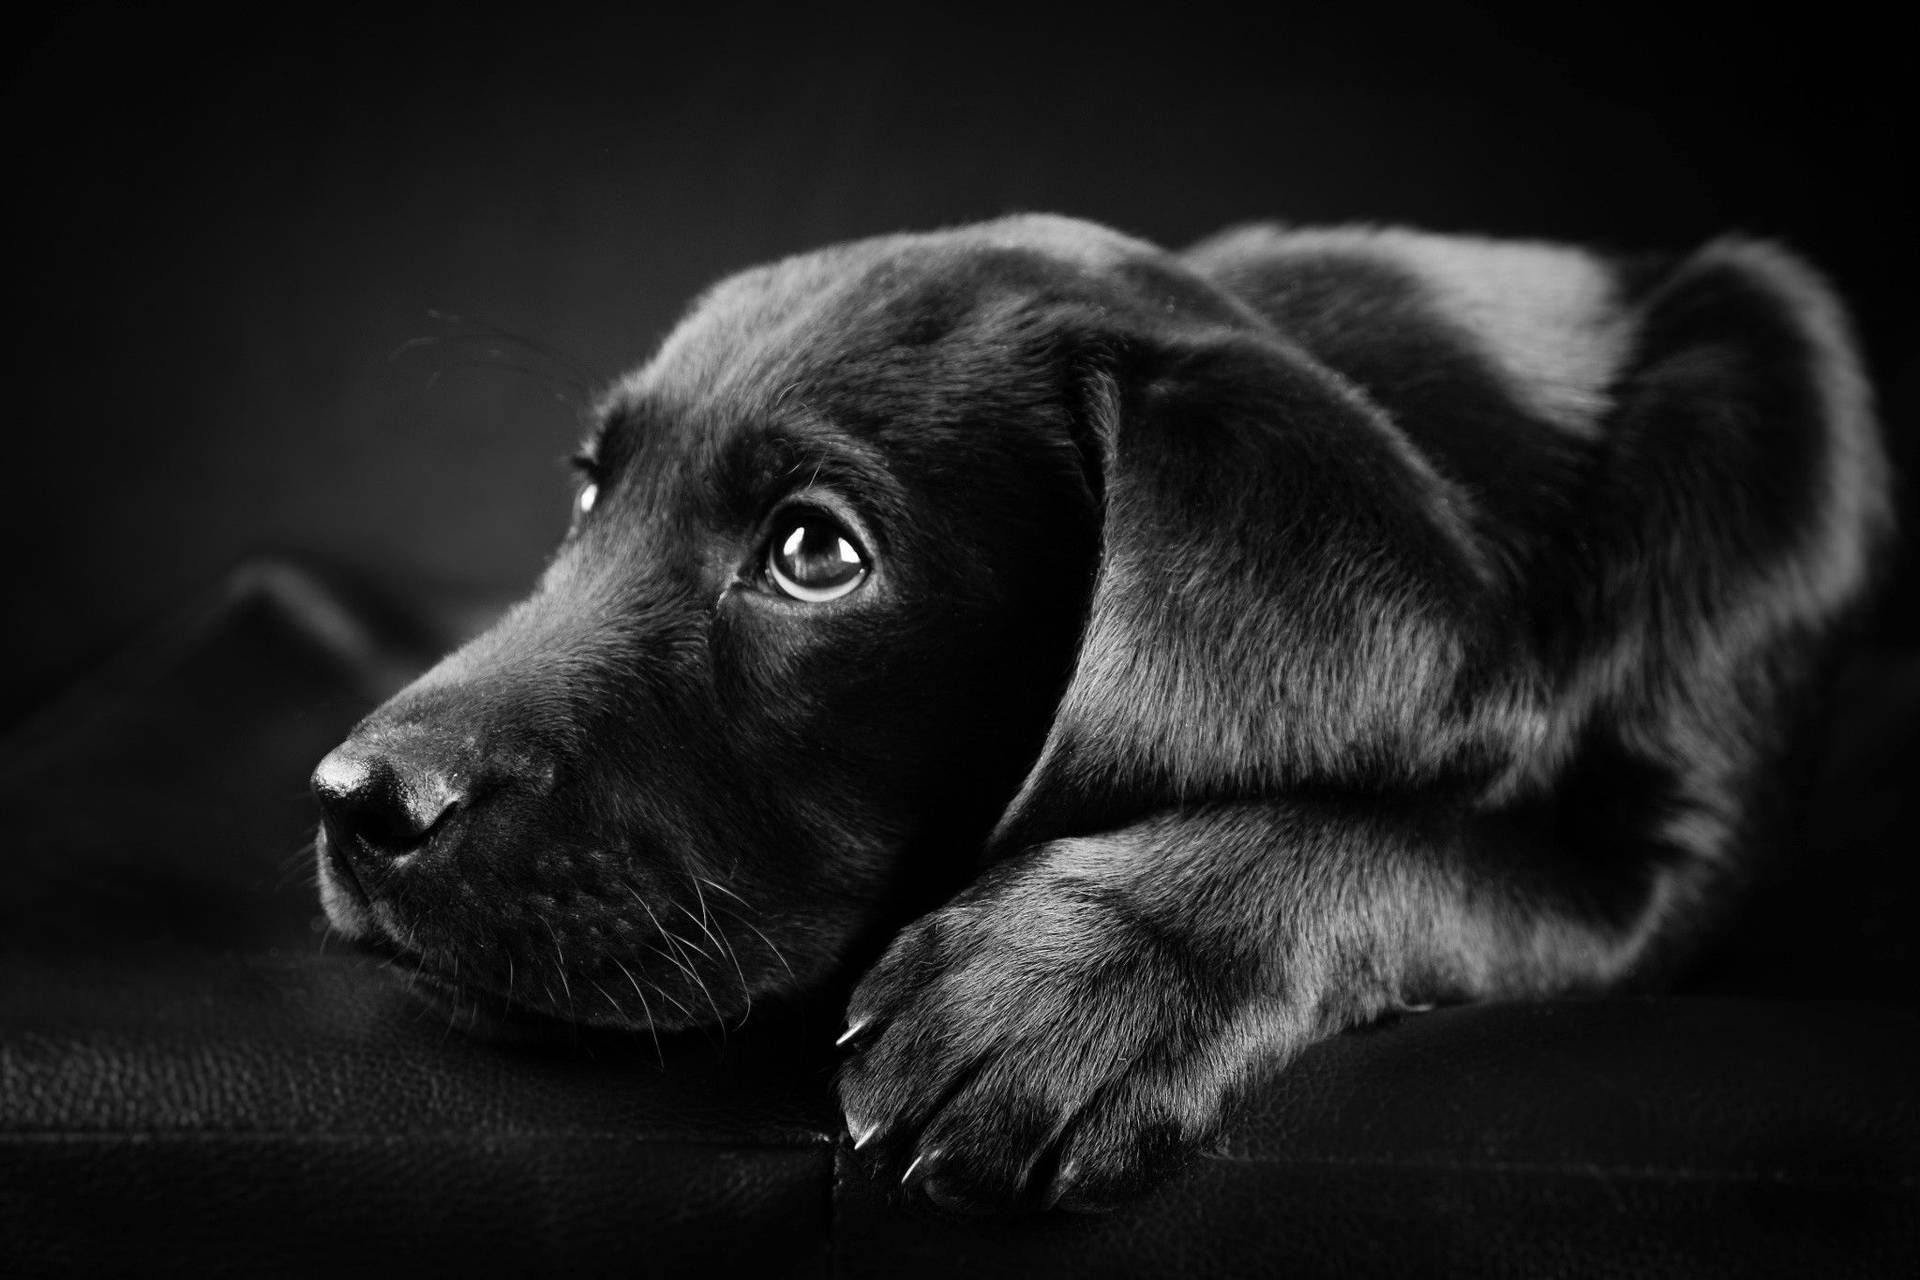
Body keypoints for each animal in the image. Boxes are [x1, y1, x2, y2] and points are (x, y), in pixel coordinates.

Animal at [311, 217, 1889, 1212]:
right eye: (590, 494)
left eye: (816, 553)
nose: (351, 798)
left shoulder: (1644, 880)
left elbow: (1410, 845)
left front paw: (1073, 983)